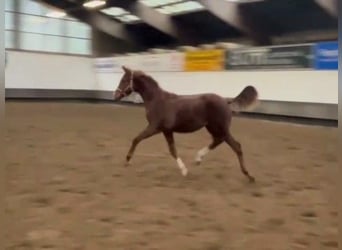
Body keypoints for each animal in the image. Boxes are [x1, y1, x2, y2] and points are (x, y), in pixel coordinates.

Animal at [113, 66, 258, 182]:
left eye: (124, 80)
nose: (115, 96)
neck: (157, 100)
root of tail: (226, 101)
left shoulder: (154, 128)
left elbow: (136, 139)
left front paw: (127, 160)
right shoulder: (166, 131)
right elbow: (172, 150)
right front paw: (184, 170)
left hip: (220, 128)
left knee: (236, 146)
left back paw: (249, 176)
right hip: (212, 128)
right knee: (218, 141)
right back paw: (198, 158)